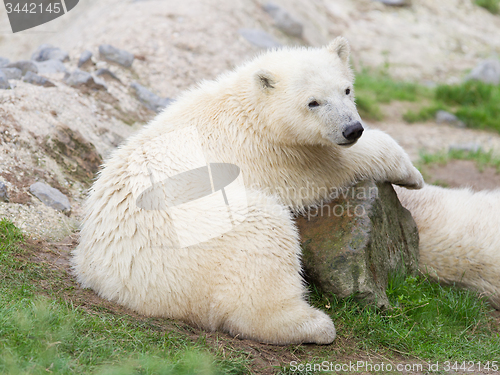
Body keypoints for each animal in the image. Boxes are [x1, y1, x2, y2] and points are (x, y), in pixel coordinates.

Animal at [71, 36, 422, 346]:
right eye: (313, 102)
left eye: (346, 89)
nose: (352, 129)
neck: (252, 108)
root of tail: (111, 281)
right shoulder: (278, 155)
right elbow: (335, 165)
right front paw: (413, 175)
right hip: (199, 236)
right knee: (265, 236)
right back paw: (313, 324)